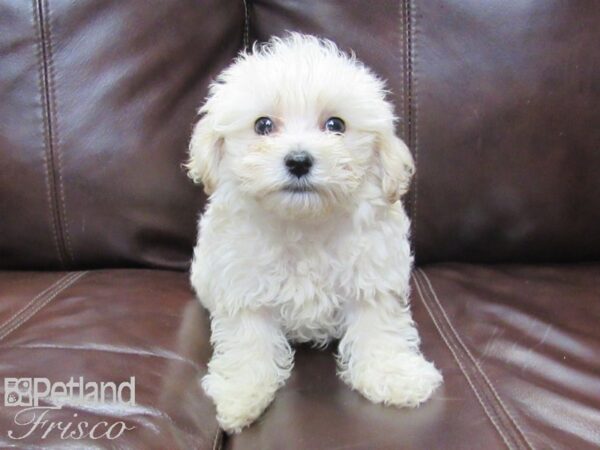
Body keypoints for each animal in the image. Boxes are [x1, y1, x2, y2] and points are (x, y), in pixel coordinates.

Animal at [186, 33, 440, 434]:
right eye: (263, 125)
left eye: (336, 124)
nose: (299, 160)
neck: (303, 223)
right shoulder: (244, 285)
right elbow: (248, 339)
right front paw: (242, 393)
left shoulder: (371, 278)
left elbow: (378, 327)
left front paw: (394, 376)